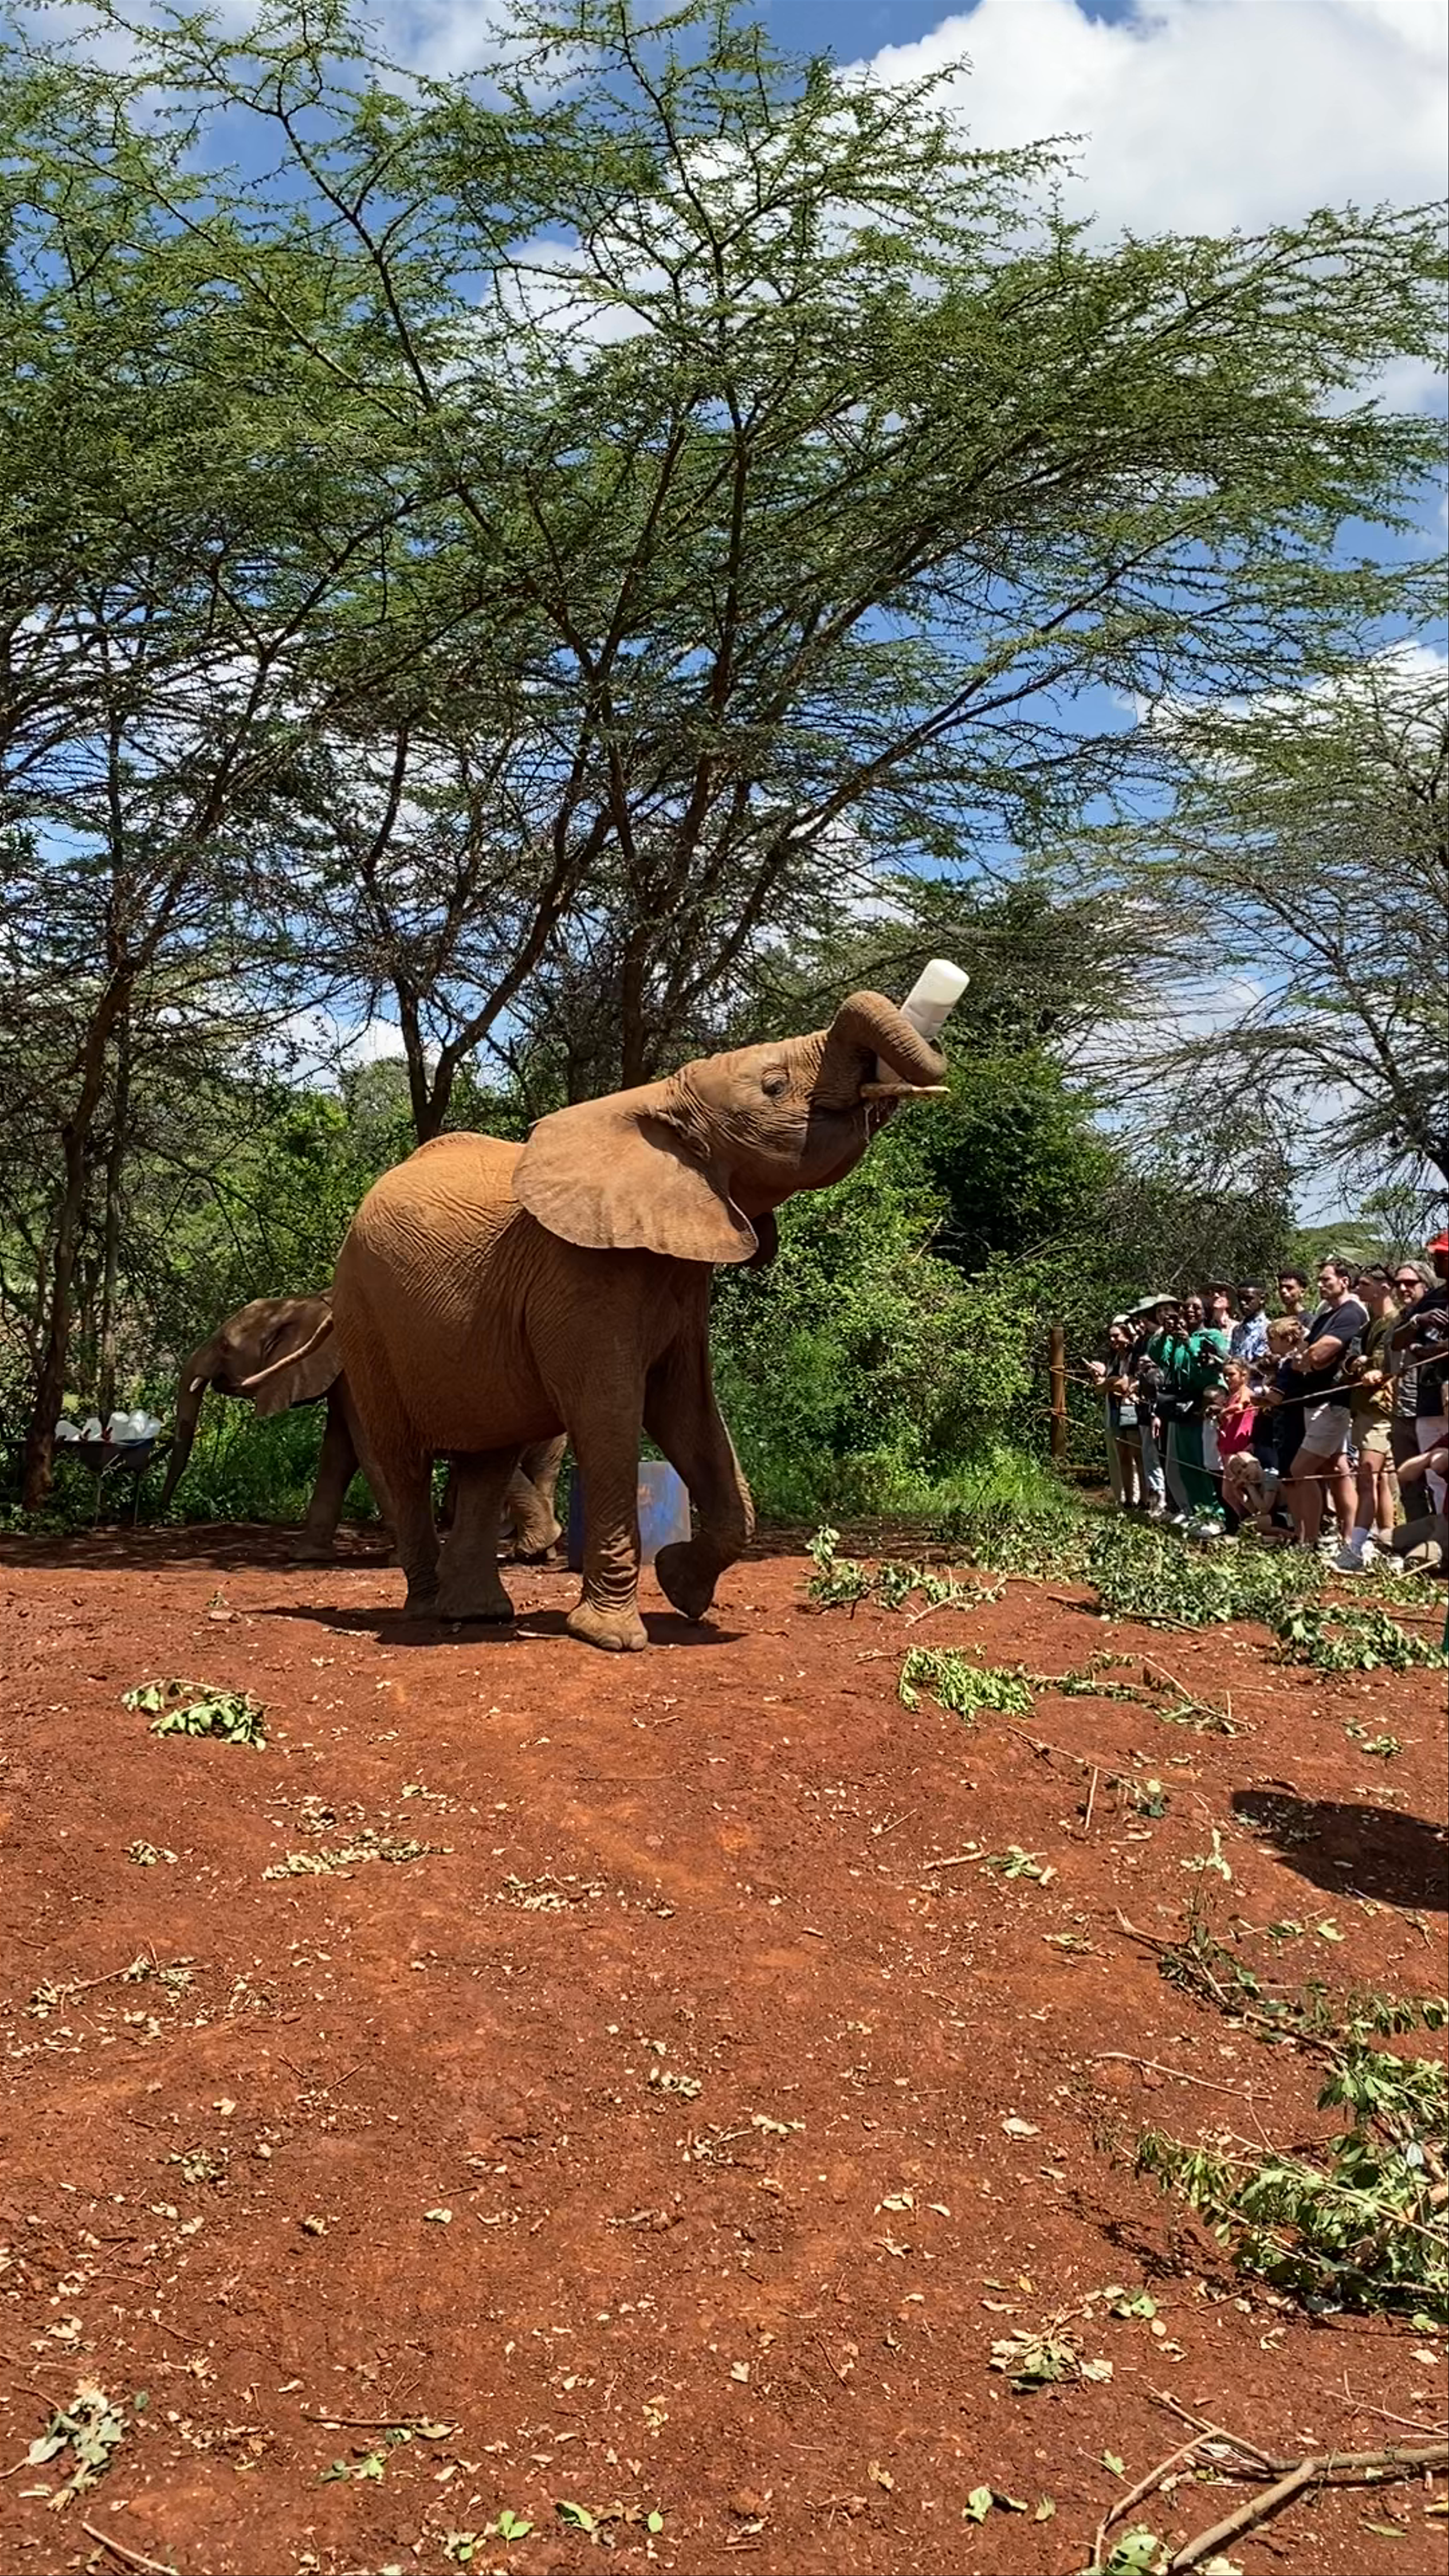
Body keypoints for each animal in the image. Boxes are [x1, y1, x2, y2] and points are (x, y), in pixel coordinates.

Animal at [161, 1295, 565, 1563]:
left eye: (225, 1347)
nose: (160, 1513)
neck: (307, 1304)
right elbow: (337, 1455)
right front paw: (306, 1556)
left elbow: (369, 1450)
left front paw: (399, 1561)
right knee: (538, 1468)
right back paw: (539, 1550)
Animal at [242, 991, 946, 1650]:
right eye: (774, 1086)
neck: (659, 1100)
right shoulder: (581, 1274)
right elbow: (610, 1410)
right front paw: (614, 1636)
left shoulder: (677, 1276)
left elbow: (688, 1410)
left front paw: (683, 1589)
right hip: (365, 1316)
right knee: (402, 1457)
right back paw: (426, 1610)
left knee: (488, 1455)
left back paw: (479, 1613)